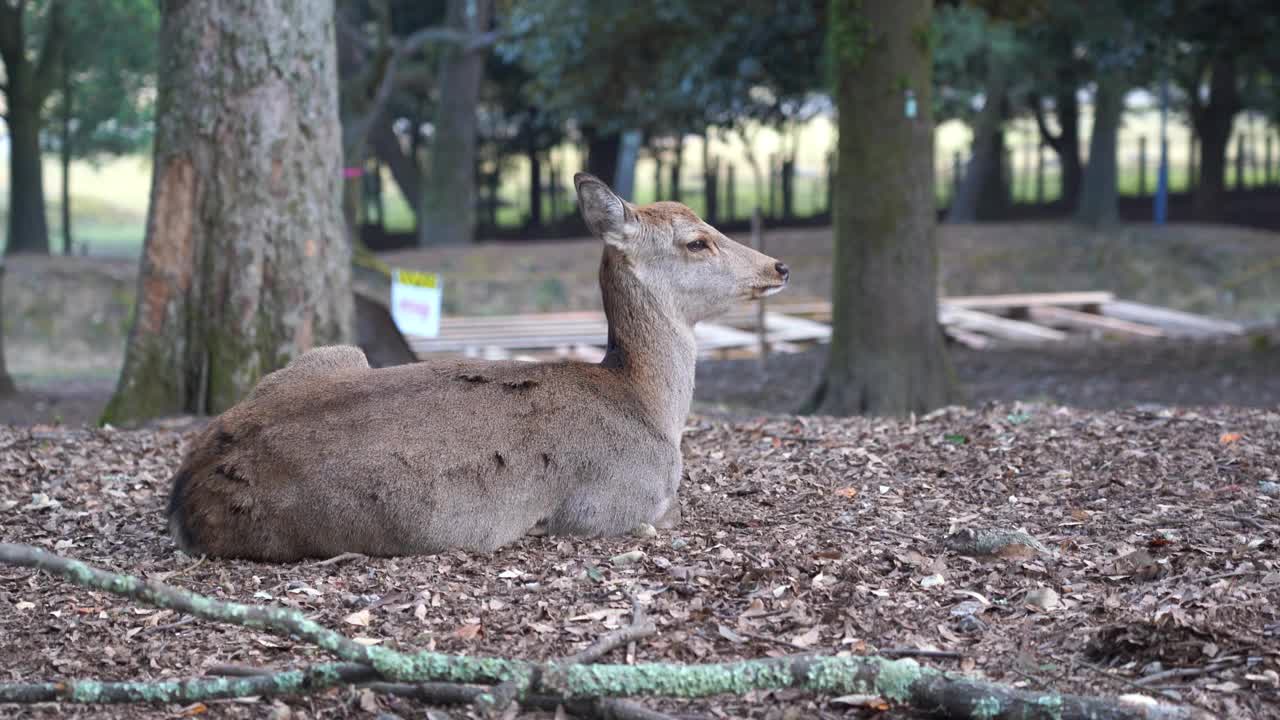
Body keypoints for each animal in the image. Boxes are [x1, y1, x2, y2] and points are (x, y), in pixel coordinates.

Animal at [167, 174, 788, 561]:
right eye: (697, 241)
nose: (777, 266)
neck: (651, 408)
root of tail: (187, 493)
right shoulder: (606, 503)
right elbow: (669, 513)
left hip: (336, 353)